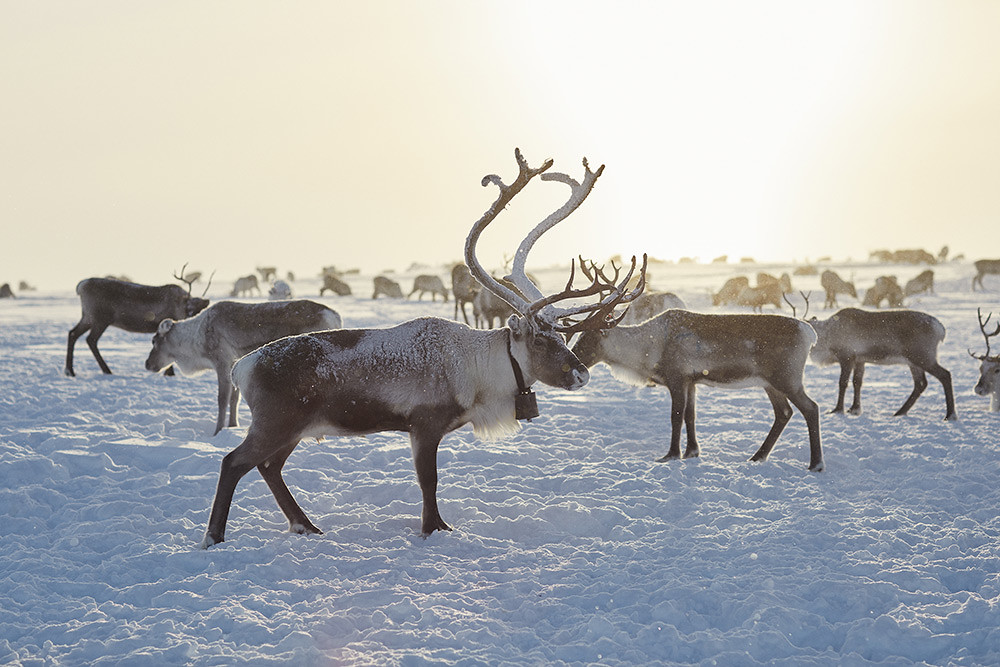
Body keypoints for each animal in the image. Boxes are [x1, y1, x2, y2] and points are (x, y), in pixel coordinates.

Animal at [65, 268, 211, 377]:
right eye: (192, 311)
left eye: (199, 311)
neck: (182, 304)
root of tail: (80, 286)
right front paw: (169, 373)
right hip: (99, 318)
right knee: (91, 339)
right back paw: (105, 370)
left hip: (88, 317)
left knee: (73, 333)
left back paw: (70, 371)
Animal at [145, 299, 342, 435]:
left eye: (154, 340)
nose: (147, 364)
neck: (196, 340)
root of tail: (334, 315)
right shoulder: (234, 365)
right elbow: (235, 398)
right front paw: (233, 425)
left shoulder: (222, 362)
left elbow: (222, 399)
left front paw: (217, 431)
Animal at [198, 149, 646, 548]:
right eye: (538, 338)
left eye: (562, 335)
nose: (580, 373)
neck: (478, 368)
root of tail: (242, 366)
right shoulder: (424, 424)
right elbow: (428, 480)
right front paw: (433, 529)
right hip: (276, 422)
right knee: (234, 462)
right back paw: (214, 537)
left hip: (292, 427)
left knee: (268, 467)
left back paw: (305, 526)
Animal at [572, 310, 824, 471]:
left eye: (588, 338)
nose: (578, 364)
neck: (647, 349)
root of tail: (810, 332)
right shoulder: (691, 382)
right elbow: (690, 416)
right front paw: (692, 452)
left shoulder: (677, 378)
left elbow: (675, 416)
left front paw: (671, 455)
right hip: (770, 383)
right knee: (784, 413)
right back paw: (757, 457)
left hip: (787, 379)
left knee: (811, 408)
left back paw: (816, 464)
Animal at [808, 307, 956, 420]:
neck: (826, 335)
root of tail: (941, 329)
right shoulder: (860, 360)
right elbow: (857, 382)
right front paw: (855, 409)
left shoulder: (847, 357)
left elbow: (843, 383)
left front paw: (837, 410)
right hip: (913, 362)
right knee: (921, 384)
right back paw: (900, 412)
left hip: (923, 357)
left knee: (945, 375)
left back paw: (950, 415)